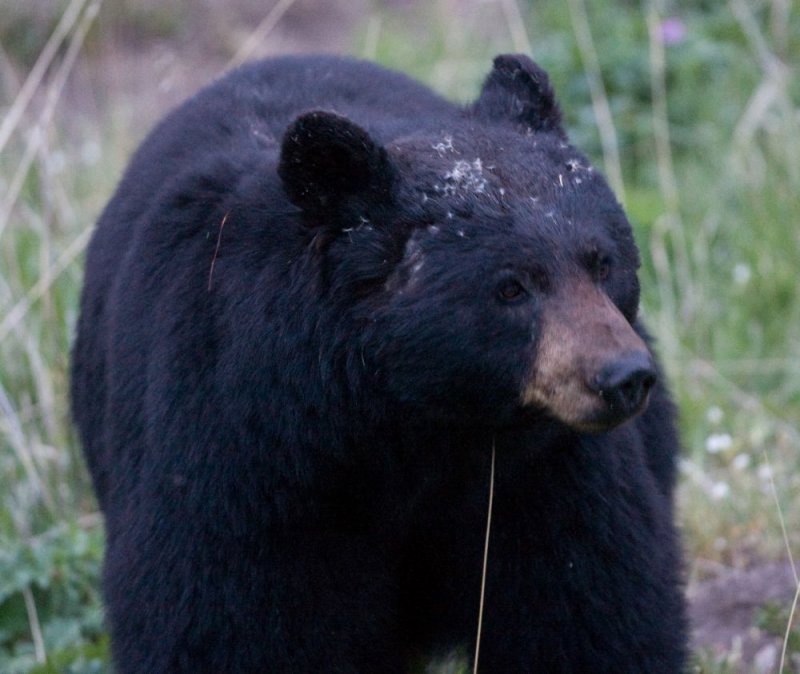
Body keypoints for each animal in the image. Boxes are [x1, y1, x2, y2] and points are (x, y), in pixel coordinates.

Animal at [72, 53, 688, 672]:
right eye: (511, 287)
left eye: (602, 262)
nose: (623, 377)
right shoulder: (237, 457)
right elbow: (229, 622)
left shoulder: (541, 474)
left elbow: (584, 605)